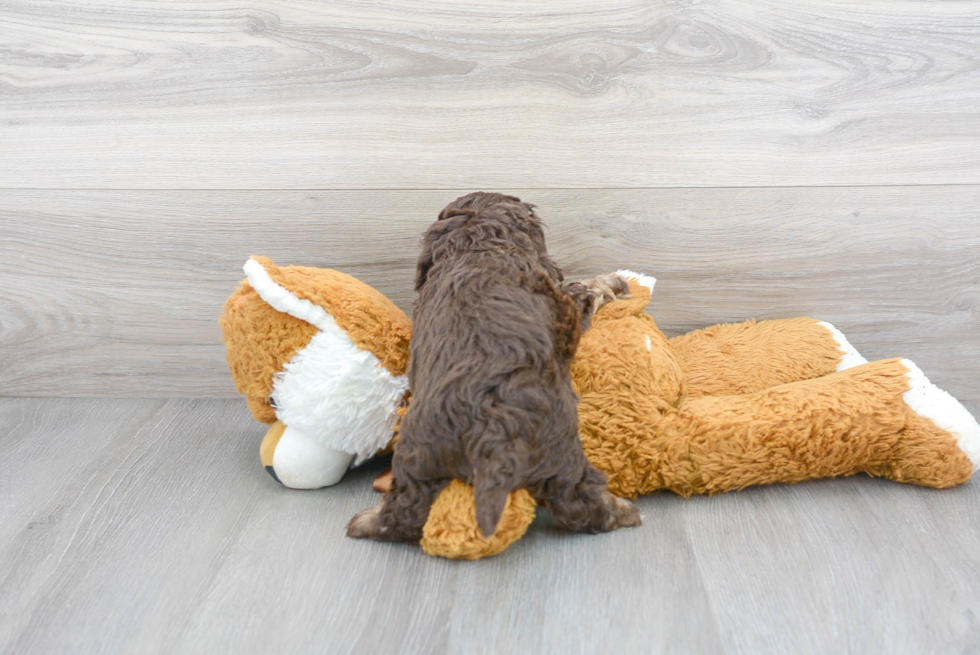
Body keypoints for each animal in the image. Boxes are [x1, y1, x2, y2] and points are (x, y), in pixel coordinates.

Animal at [346, 192, 644, 540]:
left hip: (418, 458)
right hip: (559, 450)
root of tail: (491, 428)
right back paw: (624, 512)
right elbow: (582, 291)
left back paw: (365, 522)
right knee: (578, 502)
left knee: (404, 511)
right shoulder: (565, 313)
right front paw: (612, 282)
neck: (477, 246)